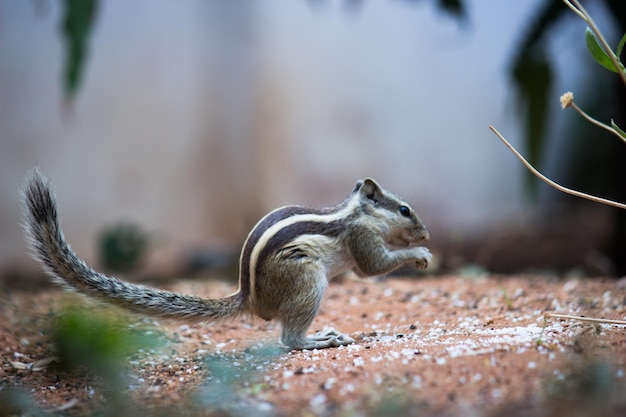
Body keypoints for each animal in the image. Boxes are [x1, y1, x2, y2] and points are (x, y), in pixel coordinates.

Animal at [19, 168, 428, 348]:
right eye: (405, 210)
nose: (426, 233)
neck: (356, 212)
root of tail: (251, 299)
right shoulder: (361, 238)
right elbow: (372, 268)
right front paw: (420, 254)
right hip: (307, 281)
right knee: (290, 340)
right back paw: (319, 340)